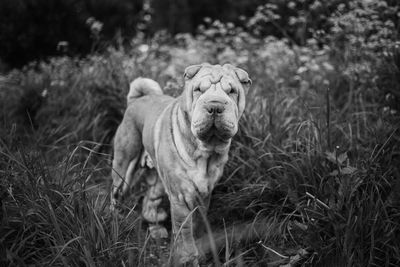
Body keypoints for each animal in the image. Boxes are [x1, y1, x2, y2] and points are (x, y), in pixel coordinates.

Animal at [111, 62, 252, 266]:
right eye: (199, 90)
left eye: (232, 91)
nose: (215, 106)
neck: (206, 152)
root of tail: (137, 99)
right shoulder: (180, 196)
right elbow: (184, 230)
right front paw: (187, 257)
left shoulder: (204, 193)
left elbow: (199, 223)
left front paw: (201, 250)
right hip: (124, 164)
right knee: (116, 192)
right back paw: (114, 219)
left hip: (158, 180)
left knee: (150, 199)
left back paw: (156, 228)